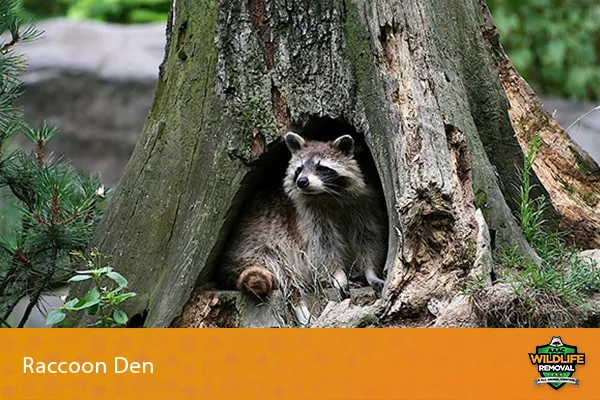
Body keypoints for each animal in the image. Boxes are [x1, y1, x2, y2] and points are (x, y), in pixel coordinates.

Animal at [218, 131, 386, 324]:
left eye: (322, 168)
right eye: (299, 169)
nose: (302, 181)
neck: (327, 195)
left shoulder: (365, 205)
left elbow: (368, 237)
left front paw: (370, 272)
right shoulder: (307, 217)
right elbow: (322, 248)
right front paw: (338, 275)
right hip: (259, 252)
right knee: (286, 277)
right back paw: (301, 309)